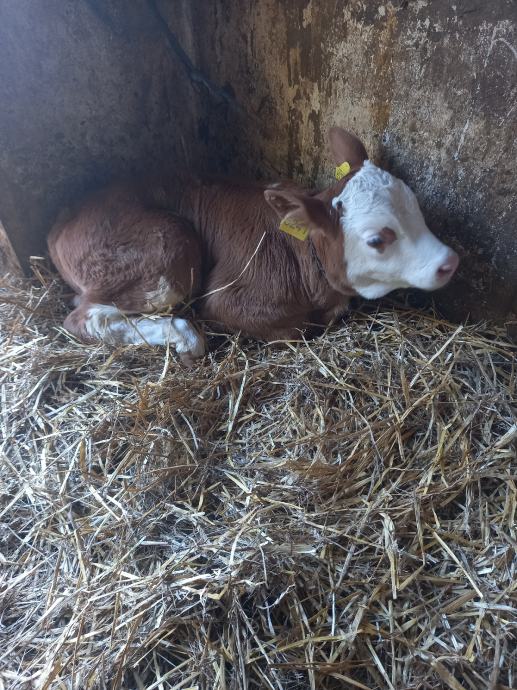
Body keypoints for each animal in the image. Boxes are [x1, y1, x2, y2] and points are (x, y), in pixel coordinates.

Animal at [48, 130, 458, 366]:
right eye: (377, 240)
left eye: (416, 208)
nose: (449, 261)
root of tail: (64, 219)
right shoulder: (227, 297)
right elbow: (294, 329)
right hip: (167, 248)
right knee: (82, 315)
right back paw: (183, 337)